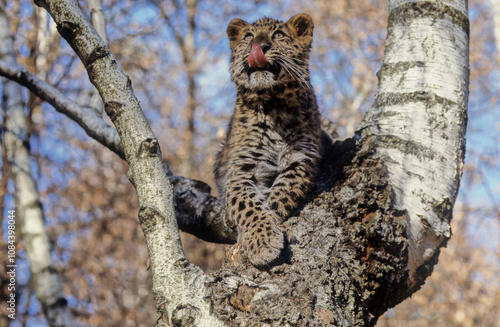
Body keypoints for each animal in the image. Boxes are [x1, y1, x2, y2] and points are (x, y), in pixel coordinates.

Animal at [214, 12, 334, 268]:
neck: (273, 104)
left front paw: (271, 230)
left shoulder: (301, 158)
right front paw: (262, 241)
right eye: (248, 36)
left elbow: (279, 195)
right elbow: (248, 204)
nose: (259, 46)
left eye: (278, 35)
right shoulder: (243, 167)